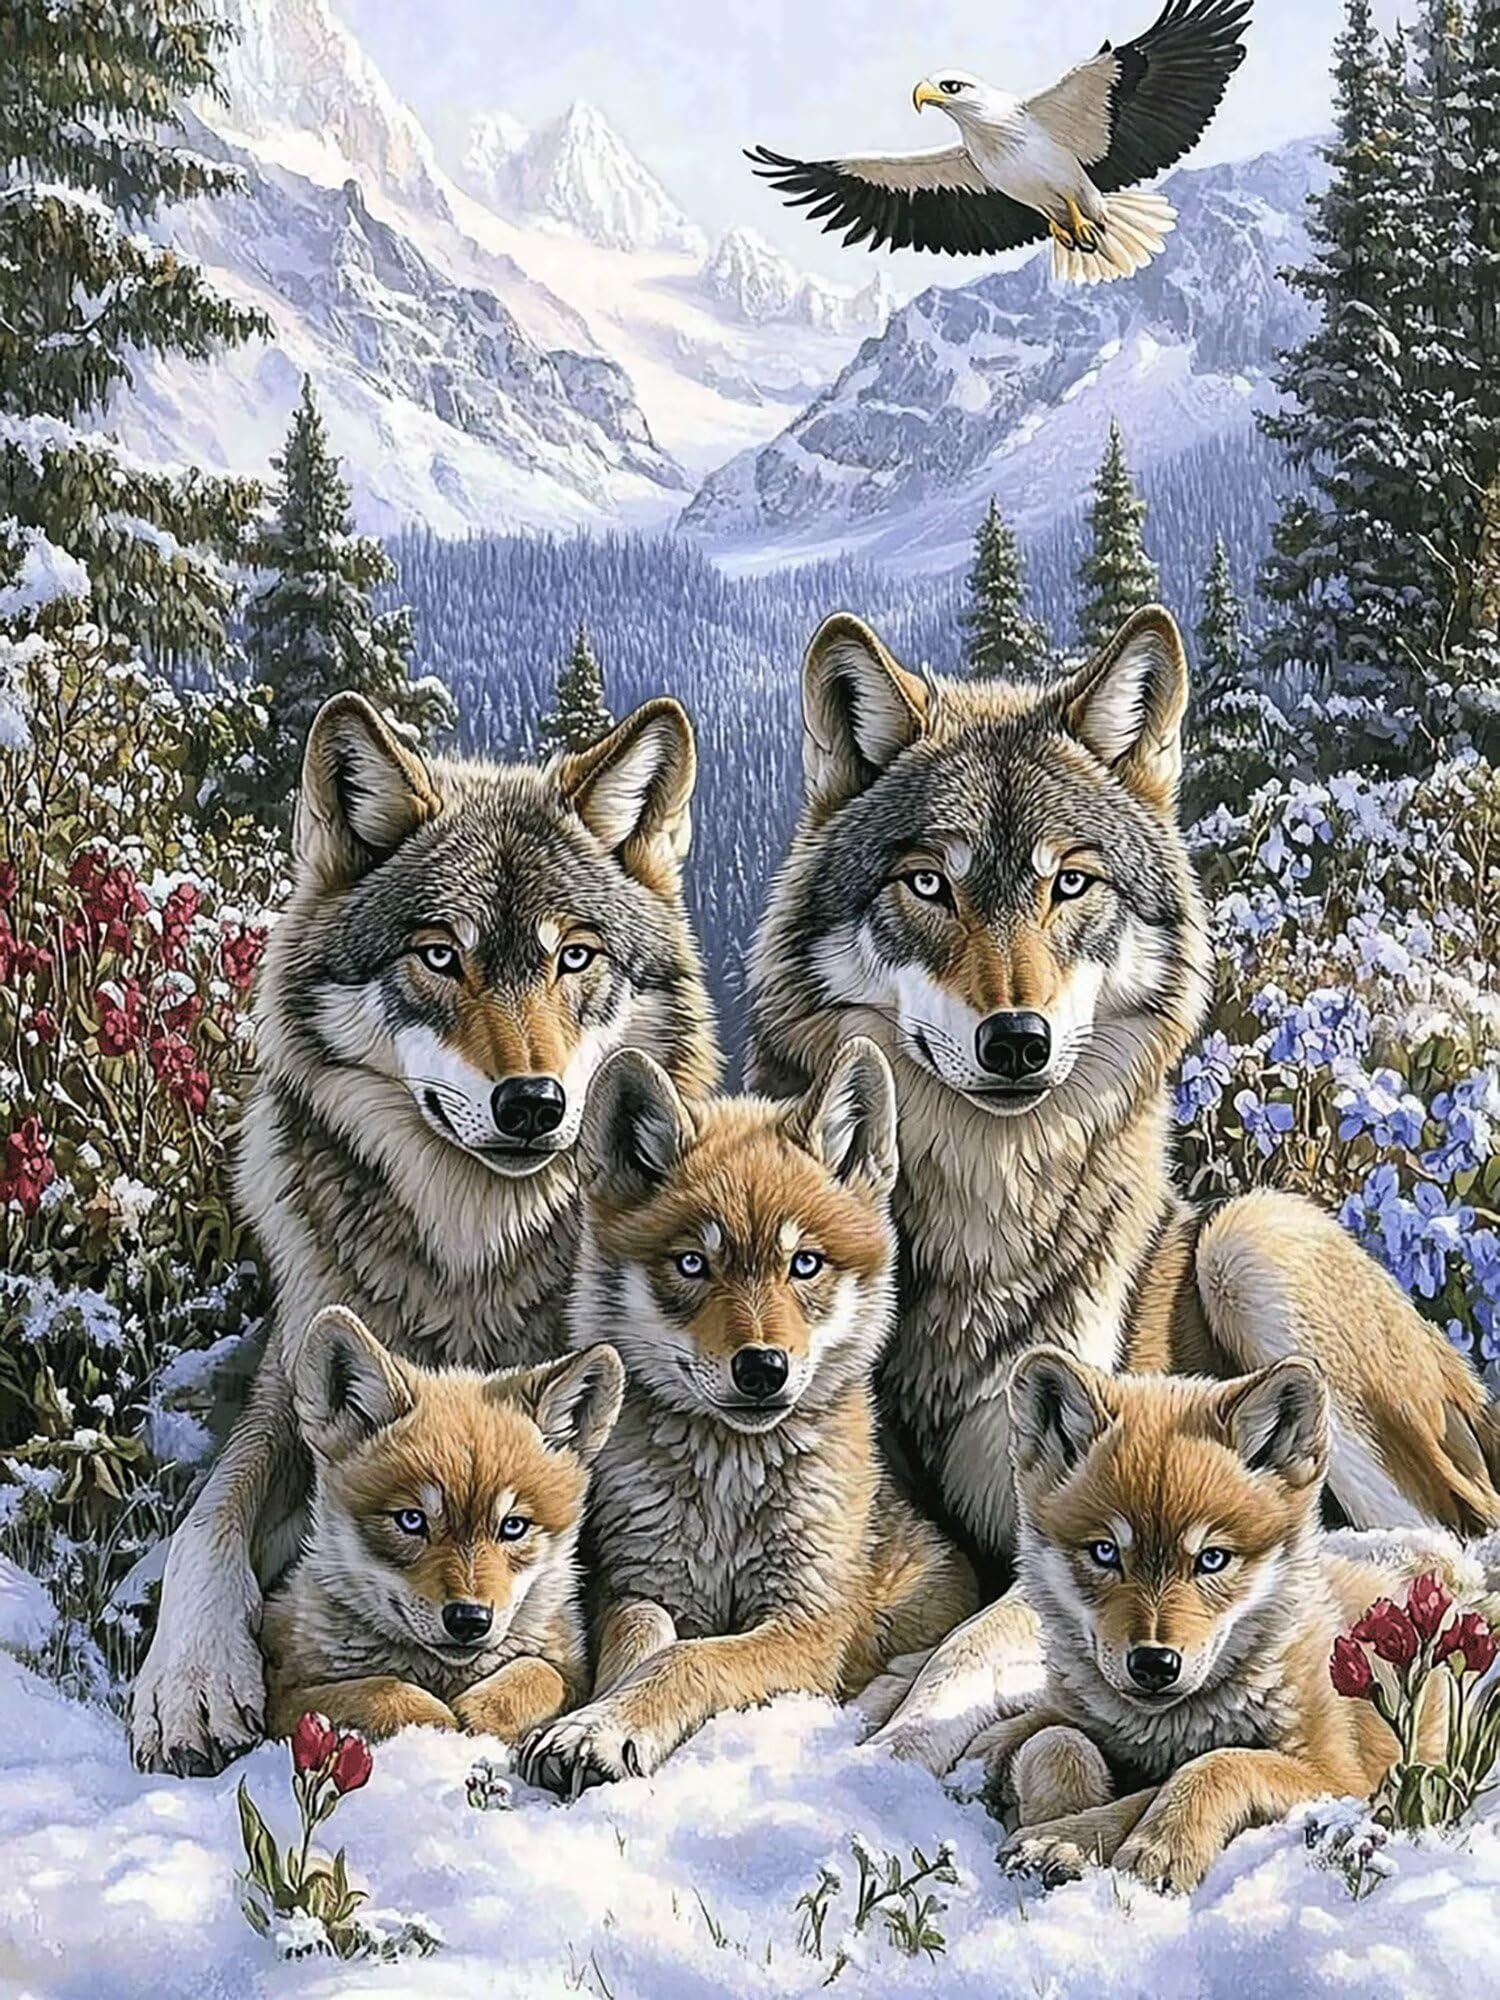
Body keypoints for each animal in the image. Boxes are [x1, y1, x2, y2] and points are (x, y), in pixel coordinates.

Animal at [262, 1306, 623, 1744]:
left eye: (513, 1526)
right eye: (412, 1520)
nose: (468, 1619)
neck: (444, 1676)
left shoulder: (571, 1669)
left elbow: (539, 1673)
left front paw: (484, 1711)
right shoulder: (284, 1696)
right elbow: (380, 1692)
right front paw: (436, 1725)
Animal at [519, 1037, 979, 1793]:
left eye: (805, 1264)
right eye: (692, 1264)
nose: (762, 1368)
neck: (729, 1495)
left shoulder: (806, 1626)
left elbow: (693, 1659)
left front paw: (604, 1730)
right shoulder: (642, 1585)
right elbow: (644, 1641)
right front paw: (593, 1718)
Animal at [749, 603, 1500, 1769]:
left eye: (1071, 882)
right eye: (929, 883)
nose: (1017, 1039)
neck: (982, 1227)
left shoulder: (1048, 1517)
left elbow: (963, 1653)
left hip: (1252, 1235)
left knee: (1445, 1536)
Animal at [987, 1348, 1490, 1893]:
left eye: (1212, 1559)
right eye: (1105, 1552)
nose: (1153, 1664)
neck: (1167, 1730)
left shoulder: (1340, 1779)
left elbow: (1213, 1765)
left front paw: (1140, 1845)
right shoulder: (1062, 1719)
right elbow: (1051, 1739)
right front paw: (1057, 1818)